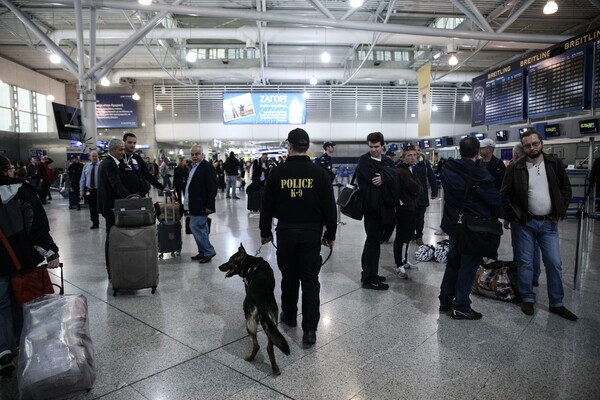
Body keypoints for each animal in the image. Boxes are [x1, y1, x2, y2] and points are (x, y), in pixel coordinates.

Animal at [218, 244, 290, 376]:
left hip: (250, 322)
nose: (219, 267)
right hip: (272, 323)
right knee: (269, 346)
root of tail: (261, 301)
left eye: (230, 261)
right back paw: (274, 368)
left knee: (256, 345)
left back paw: (250, 358)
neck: (250, 262)